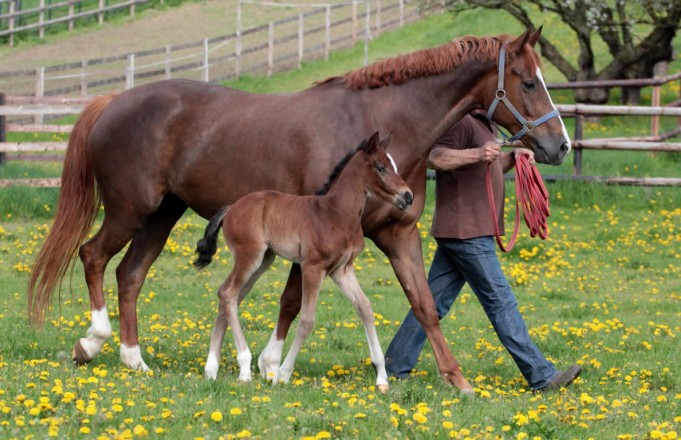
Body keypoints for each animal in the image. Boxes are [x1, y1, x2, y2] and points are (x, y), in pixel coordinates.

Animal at [192, 132, 412, 392]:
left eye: (394, 166)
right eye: (380, 167)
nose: (408, 196)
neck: (336, 213)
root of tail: (231, 207)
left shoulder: (342, 269)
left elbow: (365, 308)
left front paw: (382, 378)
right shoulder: (312, 267)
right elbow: (307, 320)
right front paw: (282, 374)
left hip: (263, 260)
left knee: (229, 295)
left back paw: (211, 369)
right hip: (249, 256)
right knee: (227, 294)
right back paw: (244, 369)